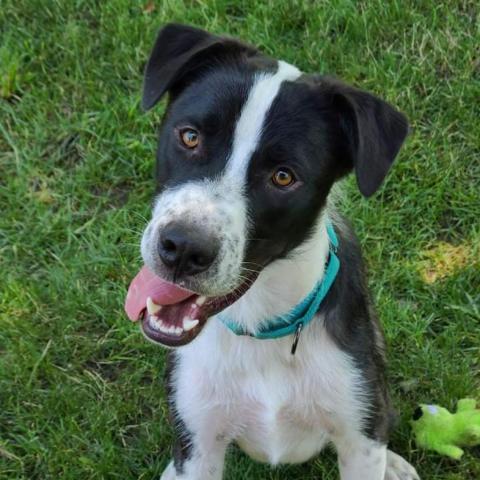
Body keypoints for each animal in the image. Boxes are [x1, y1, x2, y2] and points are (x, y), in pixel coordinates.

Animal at [125, 23, 422, 480]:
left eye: (284, 177)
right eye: (189, 136)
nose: (182, 249)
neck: (260, 327)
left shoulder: (358, 436)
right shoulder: (199, 445)